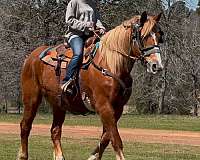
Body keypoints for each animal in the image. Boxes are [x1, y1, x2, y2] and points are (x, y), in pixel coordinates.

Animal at [17, 11, 164, 160]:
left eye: (159, 36)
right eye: (144, 36)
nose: (157, 65)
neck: (111, 64)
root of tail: (31, 57)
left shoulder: (118, 109)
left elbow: (106, 138)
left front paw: (94, 156)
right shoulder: (104, 106)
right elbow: (116, 140)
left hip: (59, 104)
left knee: (55, 130)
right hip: (31, 99)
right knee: (25, 126)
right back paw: (22, 155)